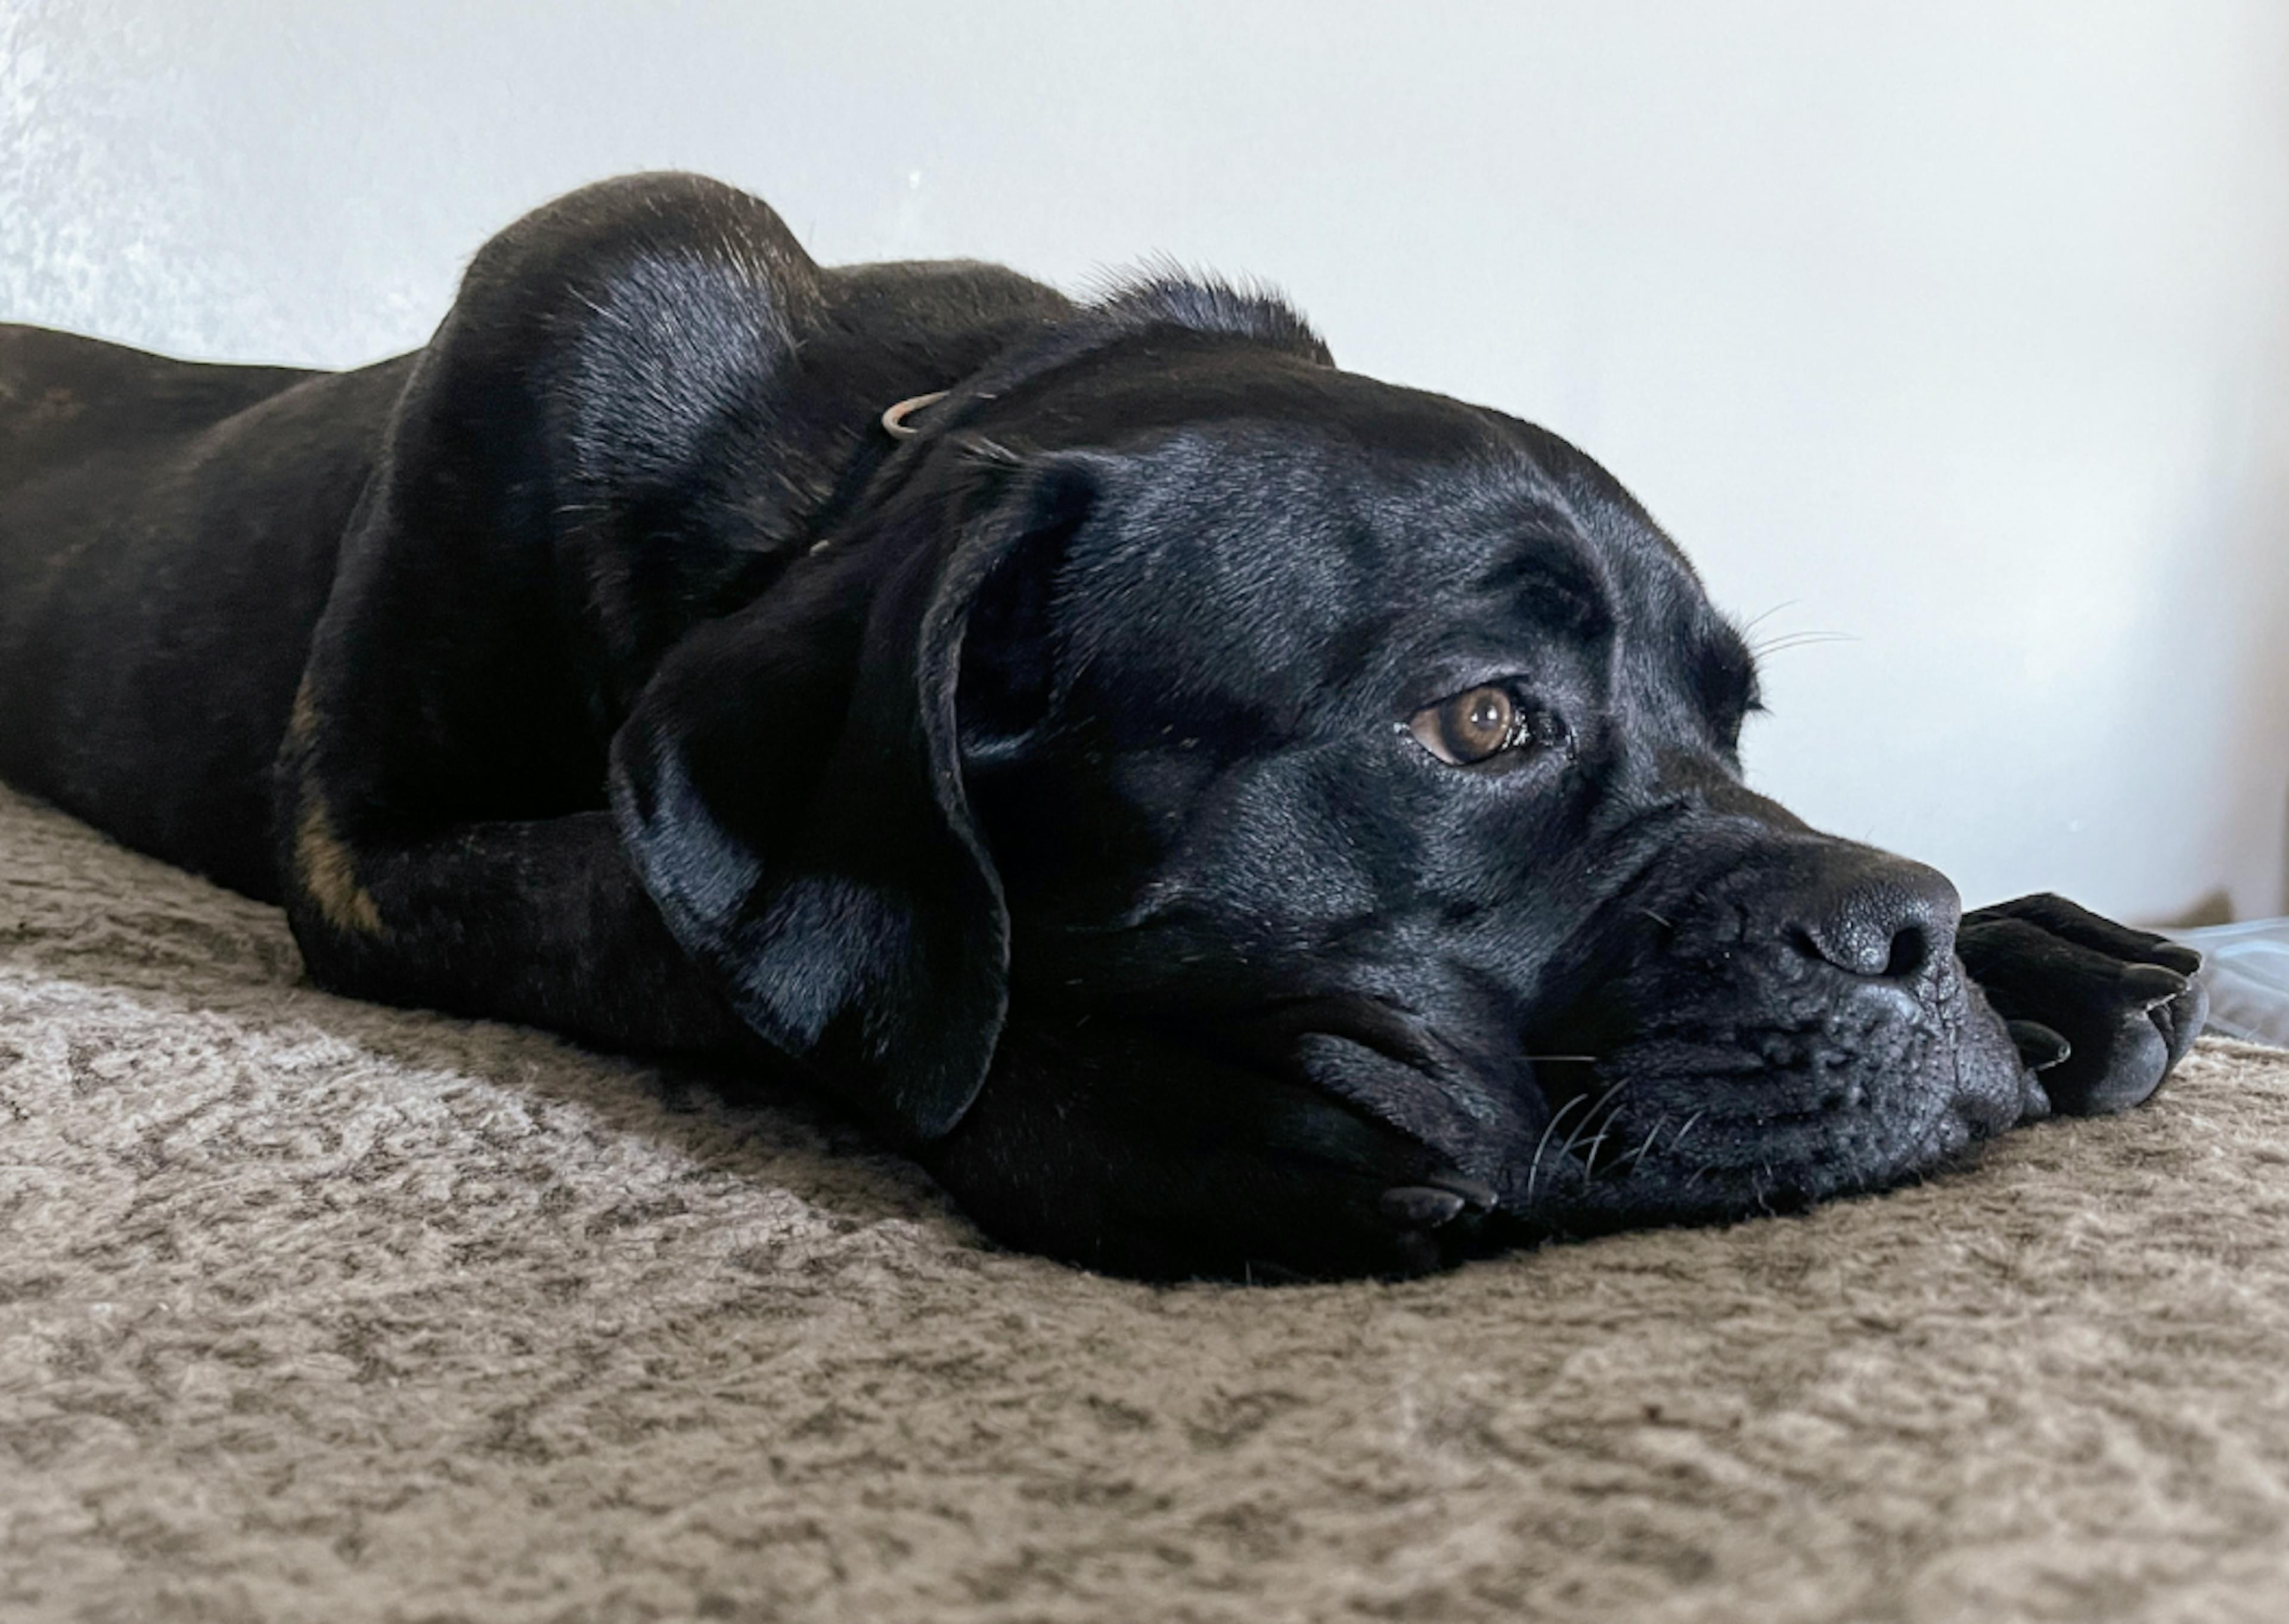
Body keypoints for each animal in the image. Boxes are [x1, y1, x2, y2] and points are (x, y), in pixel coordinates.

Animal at [4, 168, 2216, 1281]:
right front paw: (1187, 1117)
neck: (865, 453)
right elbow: (702, 938)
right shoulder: (373, 855)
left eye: (1736, 722)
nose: (1904, 931)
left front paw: (2041, 950)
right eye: (1482, 720)